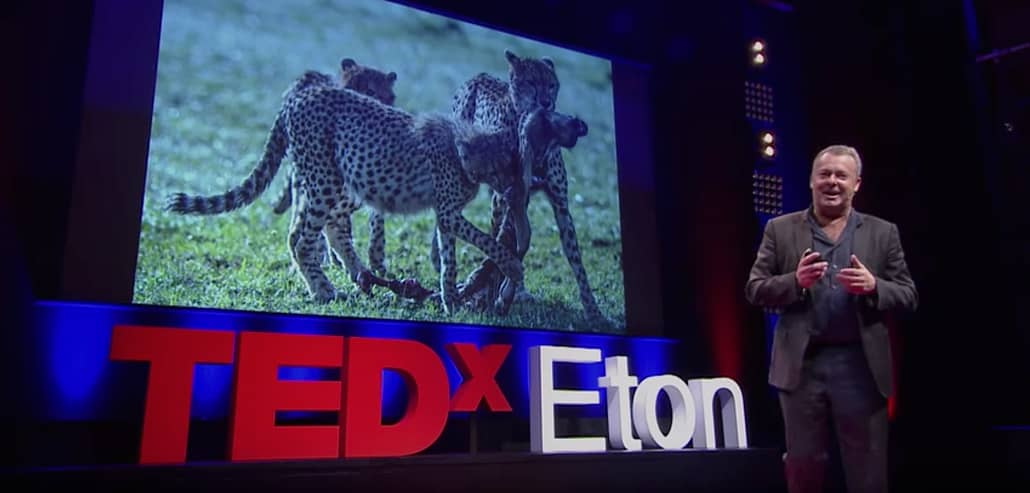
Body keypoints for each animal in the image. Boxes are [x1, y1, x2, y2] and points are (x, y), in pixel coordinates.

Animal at [166, 84, 531, 312]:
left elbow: (450, 259)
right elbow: (485, 240)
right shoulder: (449, 212)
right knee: (303, 238)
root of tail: (299, 95)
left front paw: (451, 300)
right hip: (328, 179)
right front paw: (512, 265)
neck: (464, 147)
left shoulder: (446, 214)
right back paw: (324, 289)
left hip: (344, 180)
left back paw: (359, 275)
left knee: (317, 228)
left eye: (511, 166)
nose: (512, 191)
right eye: (500, 167)